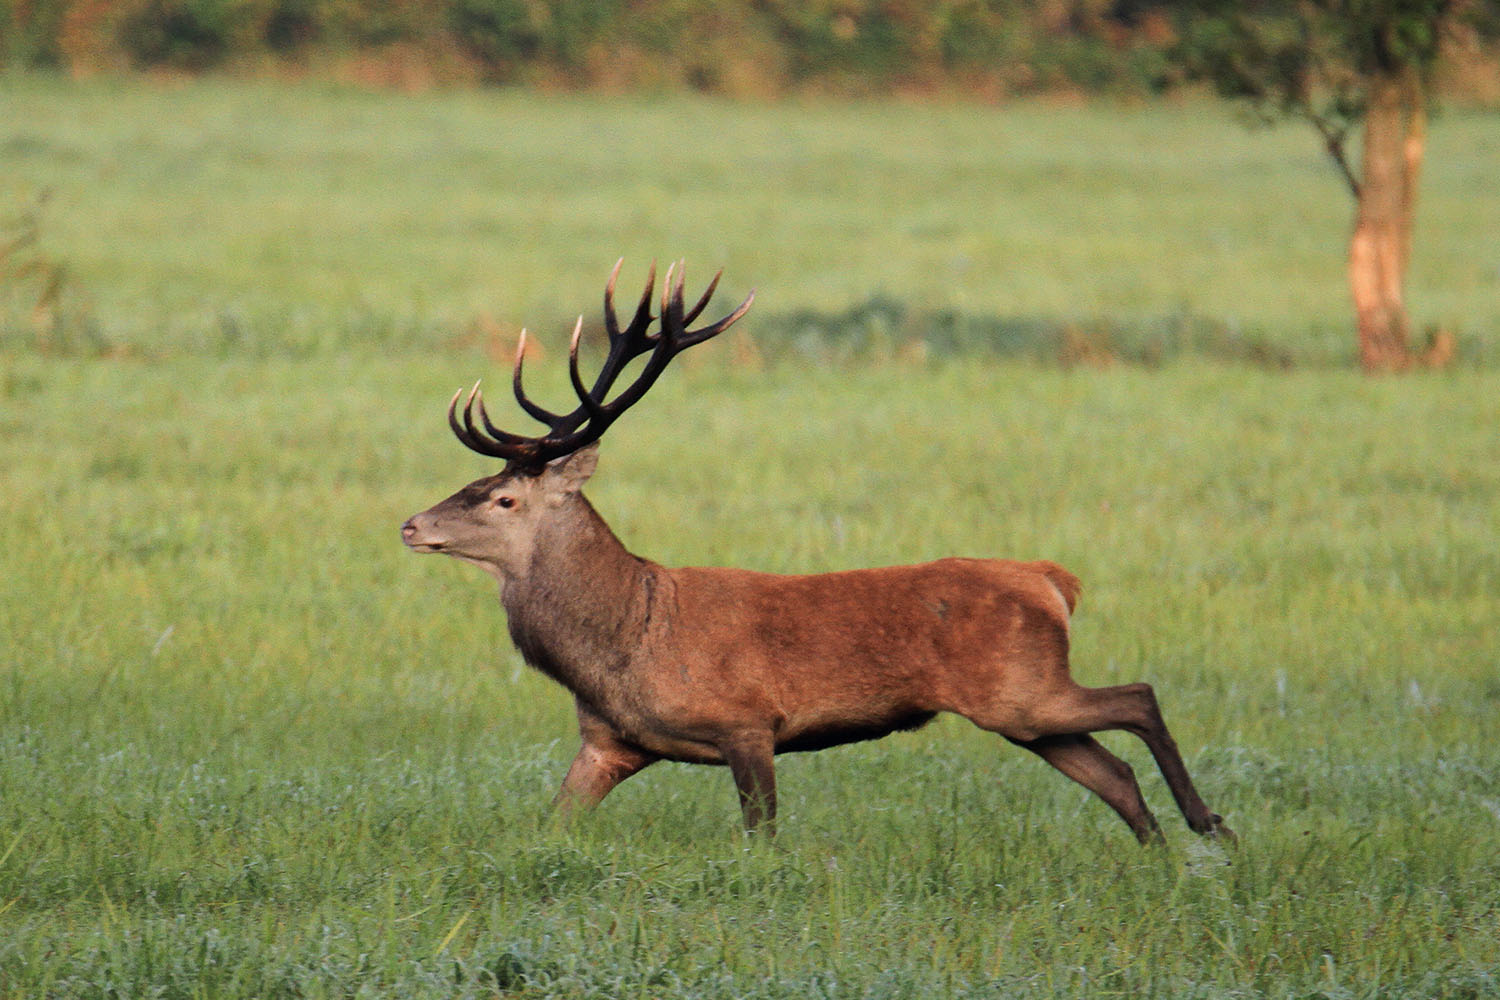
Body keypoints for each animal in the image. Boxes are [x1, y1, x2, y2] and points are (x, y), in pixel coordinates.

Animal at [399, 260, 1230, 845]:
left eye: (502, 498)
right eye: (476, 482)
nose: (411, 525)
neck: (623, 639)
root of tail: (1055, 582)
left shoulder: (748, 721)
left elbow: (762, 836)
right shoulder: (609, 743)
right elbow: (550, 825)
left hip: (1021, 687)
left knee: (1138, 697)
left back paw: (1208, 822)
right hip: (1024, 712)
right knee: (1113, 773)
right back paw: (1166, 855)